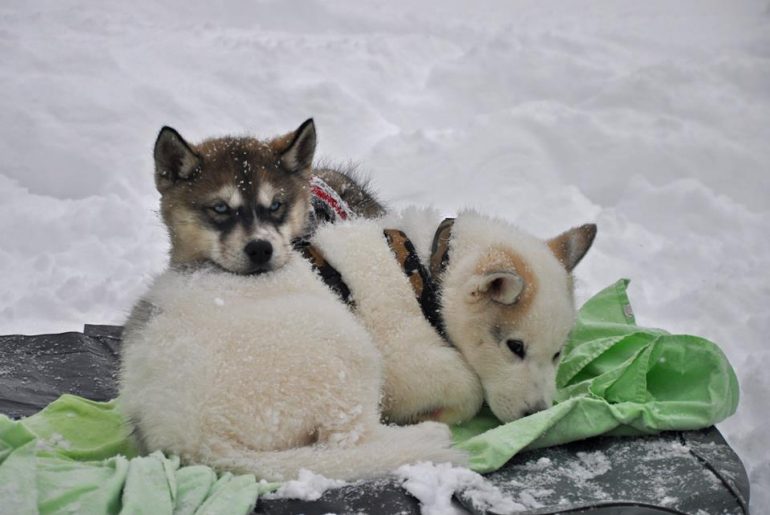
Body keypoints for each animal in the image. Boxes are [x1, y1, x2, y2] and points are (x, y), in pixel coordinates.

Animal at [308, 210, 592, 428]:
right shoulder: (401, 360)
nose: (535, 413)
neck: (420, 272)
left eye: (557, 354)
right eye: (516, 347)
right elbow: (470, 390)